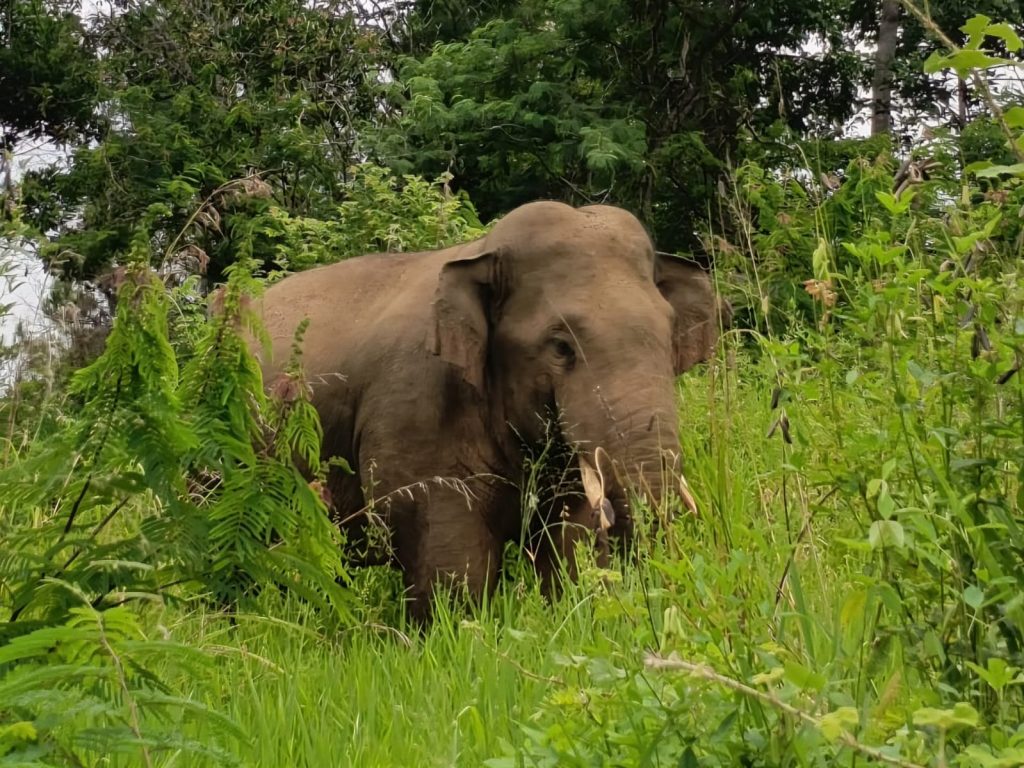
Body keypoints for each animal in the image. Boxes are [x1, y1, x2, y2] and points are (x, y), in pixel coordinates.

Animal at [256, 200, 727, 619]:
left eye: (670, 334)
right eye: (560, 347)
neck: (479, 249)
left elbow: (570, 535)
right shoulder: (414, 406)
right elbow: (442, 542)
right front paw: (456, 635)